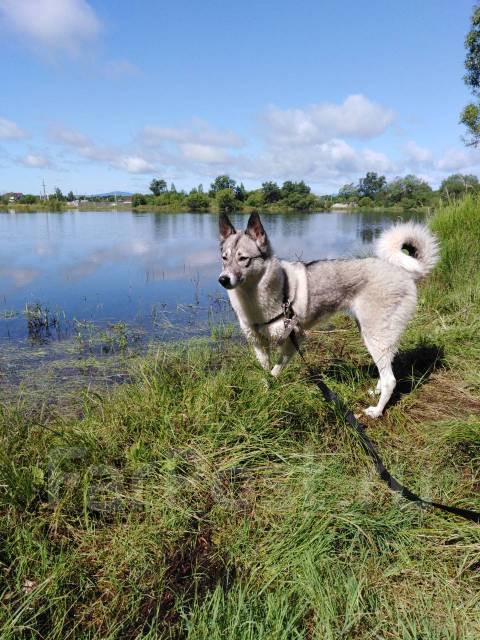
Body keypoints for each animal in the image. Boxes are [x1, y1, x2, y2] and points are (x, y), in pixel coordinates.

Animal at [218, 211, 438, 420]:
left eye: (243, 258)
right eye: (224, 258)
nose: (223, 279)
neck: (256, 296)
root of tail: (402, 272)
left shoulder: (294, 339)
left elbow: (275, 370)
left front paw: (271, 387)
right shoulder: (258, 344)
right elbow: (266, 370)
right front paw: (265, 390)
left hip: (374, 336)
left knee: (390, 380)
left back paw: (376, 411)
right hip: (378, 336)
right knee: (385, 372)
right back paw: (376, 392)